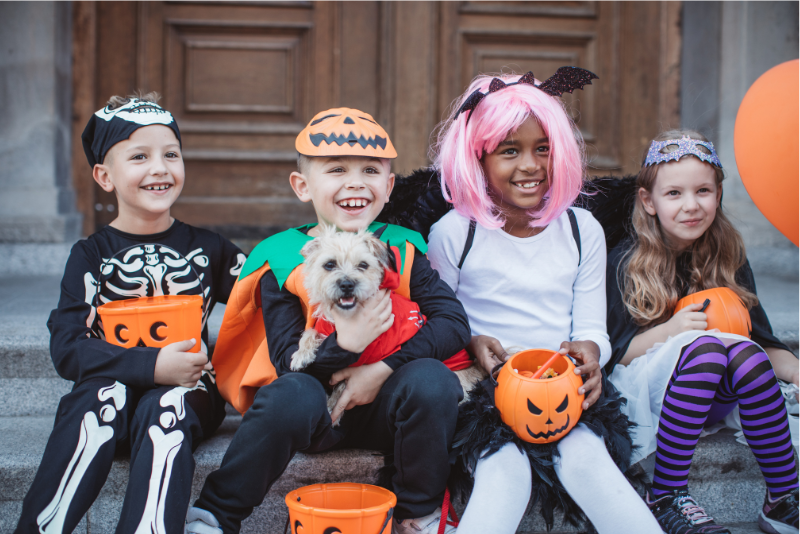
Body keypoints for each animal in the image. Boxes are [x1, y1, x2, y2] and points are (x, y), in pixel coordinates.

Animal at [290, 227, 484, 428]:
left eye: (363, 265)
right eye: (329, 264)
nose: (347, 284)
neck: (343, 318)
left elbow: (344, 386)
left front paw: (332, 409)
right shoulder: (324, 330)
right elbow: (310, 332)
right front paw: (301, 355)